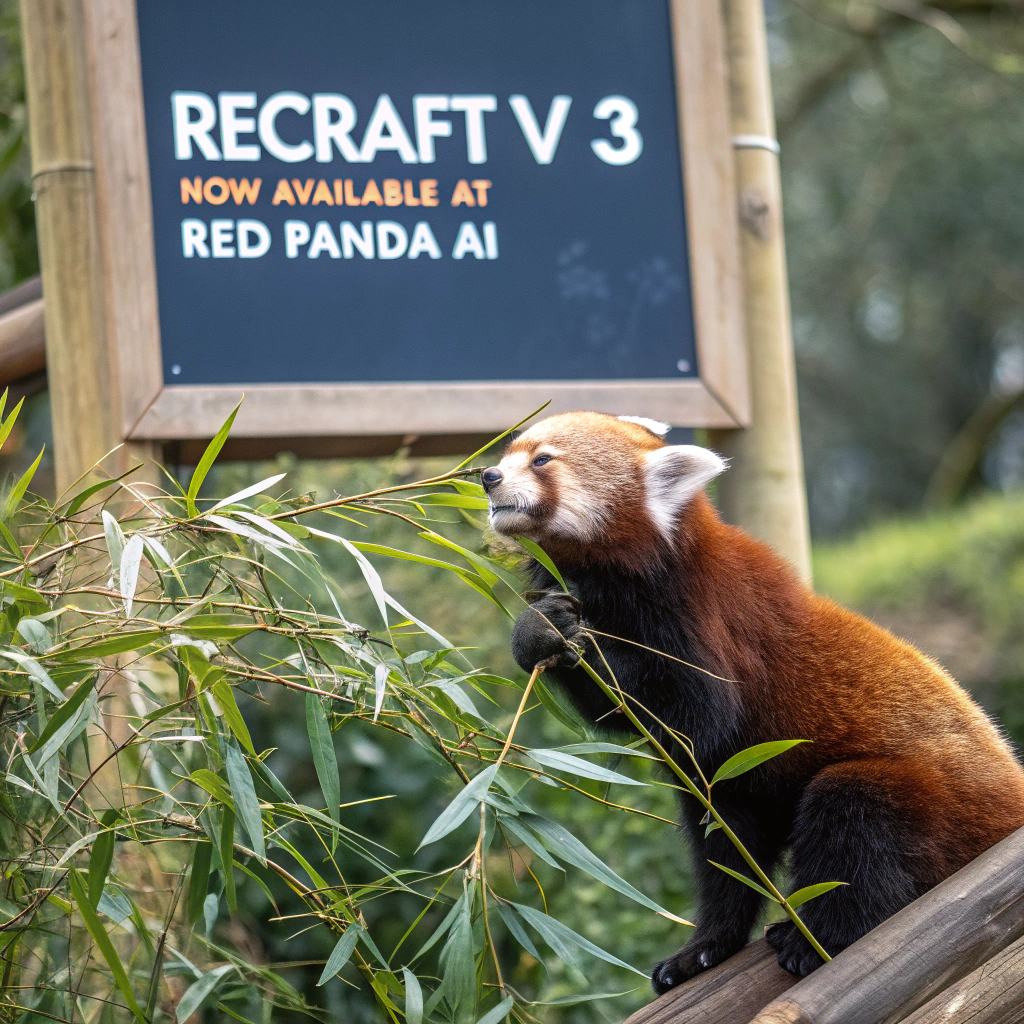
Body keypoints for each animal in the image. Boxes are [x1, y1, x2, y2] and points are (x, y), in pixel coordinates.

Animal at [480, 410, 1024, 991]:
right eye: (509, 453)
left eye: (542, 460)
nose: (487, 476)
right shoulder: (720, 773)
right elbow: (718, 840)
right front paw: (538, 632)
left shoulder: (706, 616)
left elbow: (691, 710)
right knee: (726, 848)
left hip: (937, 804)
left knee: (855, 815)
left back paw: (816, 941)